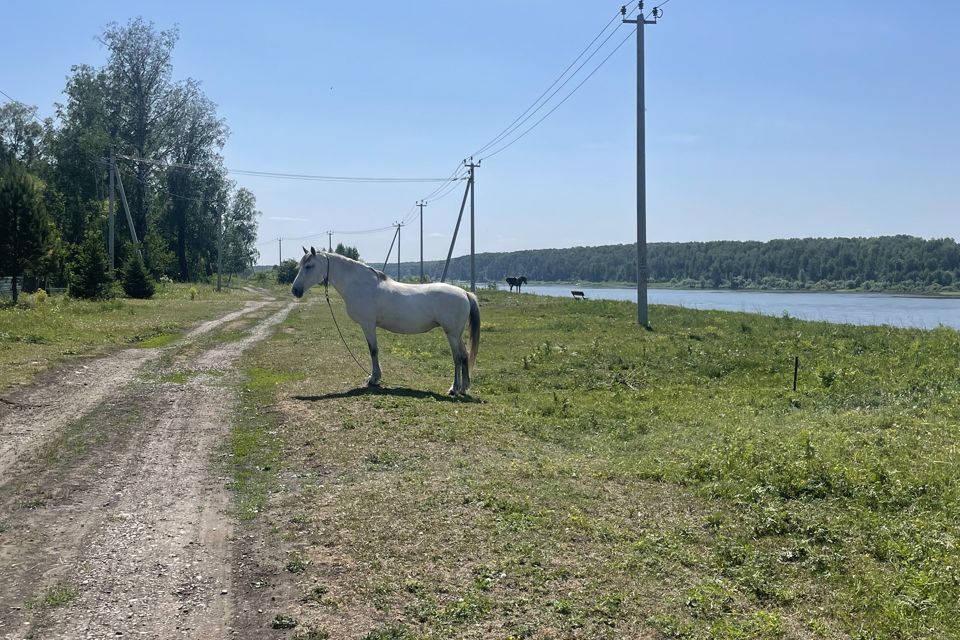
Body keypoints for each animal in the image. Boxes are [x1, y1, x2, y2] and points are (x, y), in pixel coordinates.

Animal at [286, 246, 478, 392]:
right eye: (300, 266)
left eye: (309, 266)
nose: (295, 290)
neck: (361, 285)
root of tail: (464, 292)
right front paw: (374, 377)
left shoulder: (368, 325)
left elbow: (373, 351)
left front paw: (373, 379)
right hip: (456, 335)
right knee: (465, 355)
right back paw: (464, 387)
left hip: (451, 334)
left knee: (457, 357)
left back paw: (454, 388)